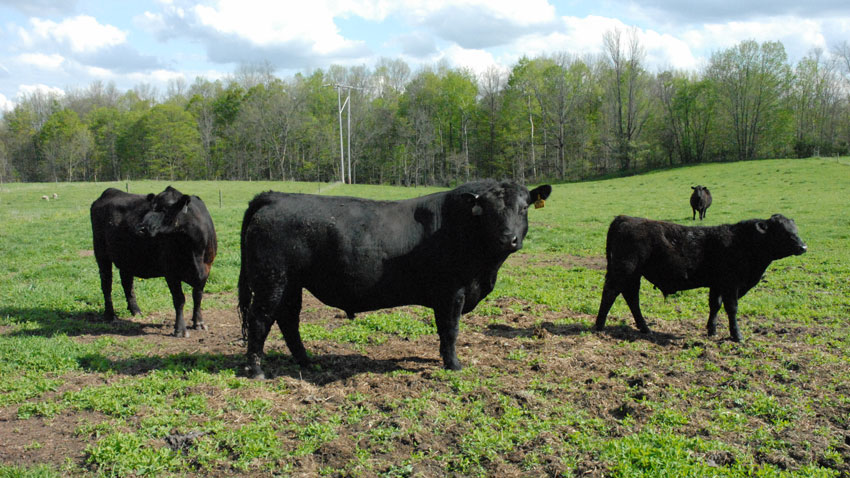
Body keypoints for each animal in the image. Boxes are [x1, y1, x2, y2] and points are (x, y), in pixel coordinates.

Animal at [88, 187, 215, 336]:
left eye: (165, 209)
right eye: (151, 208)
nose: (141, 228)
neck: (194, 251)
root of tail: (110, 191)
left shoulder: (205, 270)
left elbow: (198, 296)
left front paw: (198, 322)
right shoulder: (170, 272)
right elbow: (179, 299)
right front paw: (180, 329)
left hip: (127, 258)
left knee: (127, 283)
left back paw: (135, 310)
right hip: (101, 254)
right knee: (106, 284)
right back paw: (110, 315)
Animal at [235, 179, 548, 378]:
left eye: (523, 208)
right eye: (487, 211)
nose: (508, 238)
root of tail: (276, 196)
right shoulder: (451, 292)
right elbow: (450, 330)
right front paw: (454, 365)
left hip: (290, 284)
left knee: (288, 320)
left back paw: (306, 361)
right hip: (271, 280)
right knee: (260, 319)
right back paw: (256, 370)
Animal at [592, 215, 804, 342]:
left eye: (795, 229)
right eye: (781, 231)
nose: (803, 247)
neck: (742, 242)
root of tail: (626, 218)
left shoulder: (717, 285)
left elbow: (715, 306)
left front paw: (712, 330)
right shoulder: (731, 284)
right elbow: (732, 308)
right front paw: (737, 335)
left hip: (633, 275)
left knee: (631, 297)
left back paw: (644, 328)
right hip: (624, 270)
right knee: (610, 292)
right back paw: (599, 325)